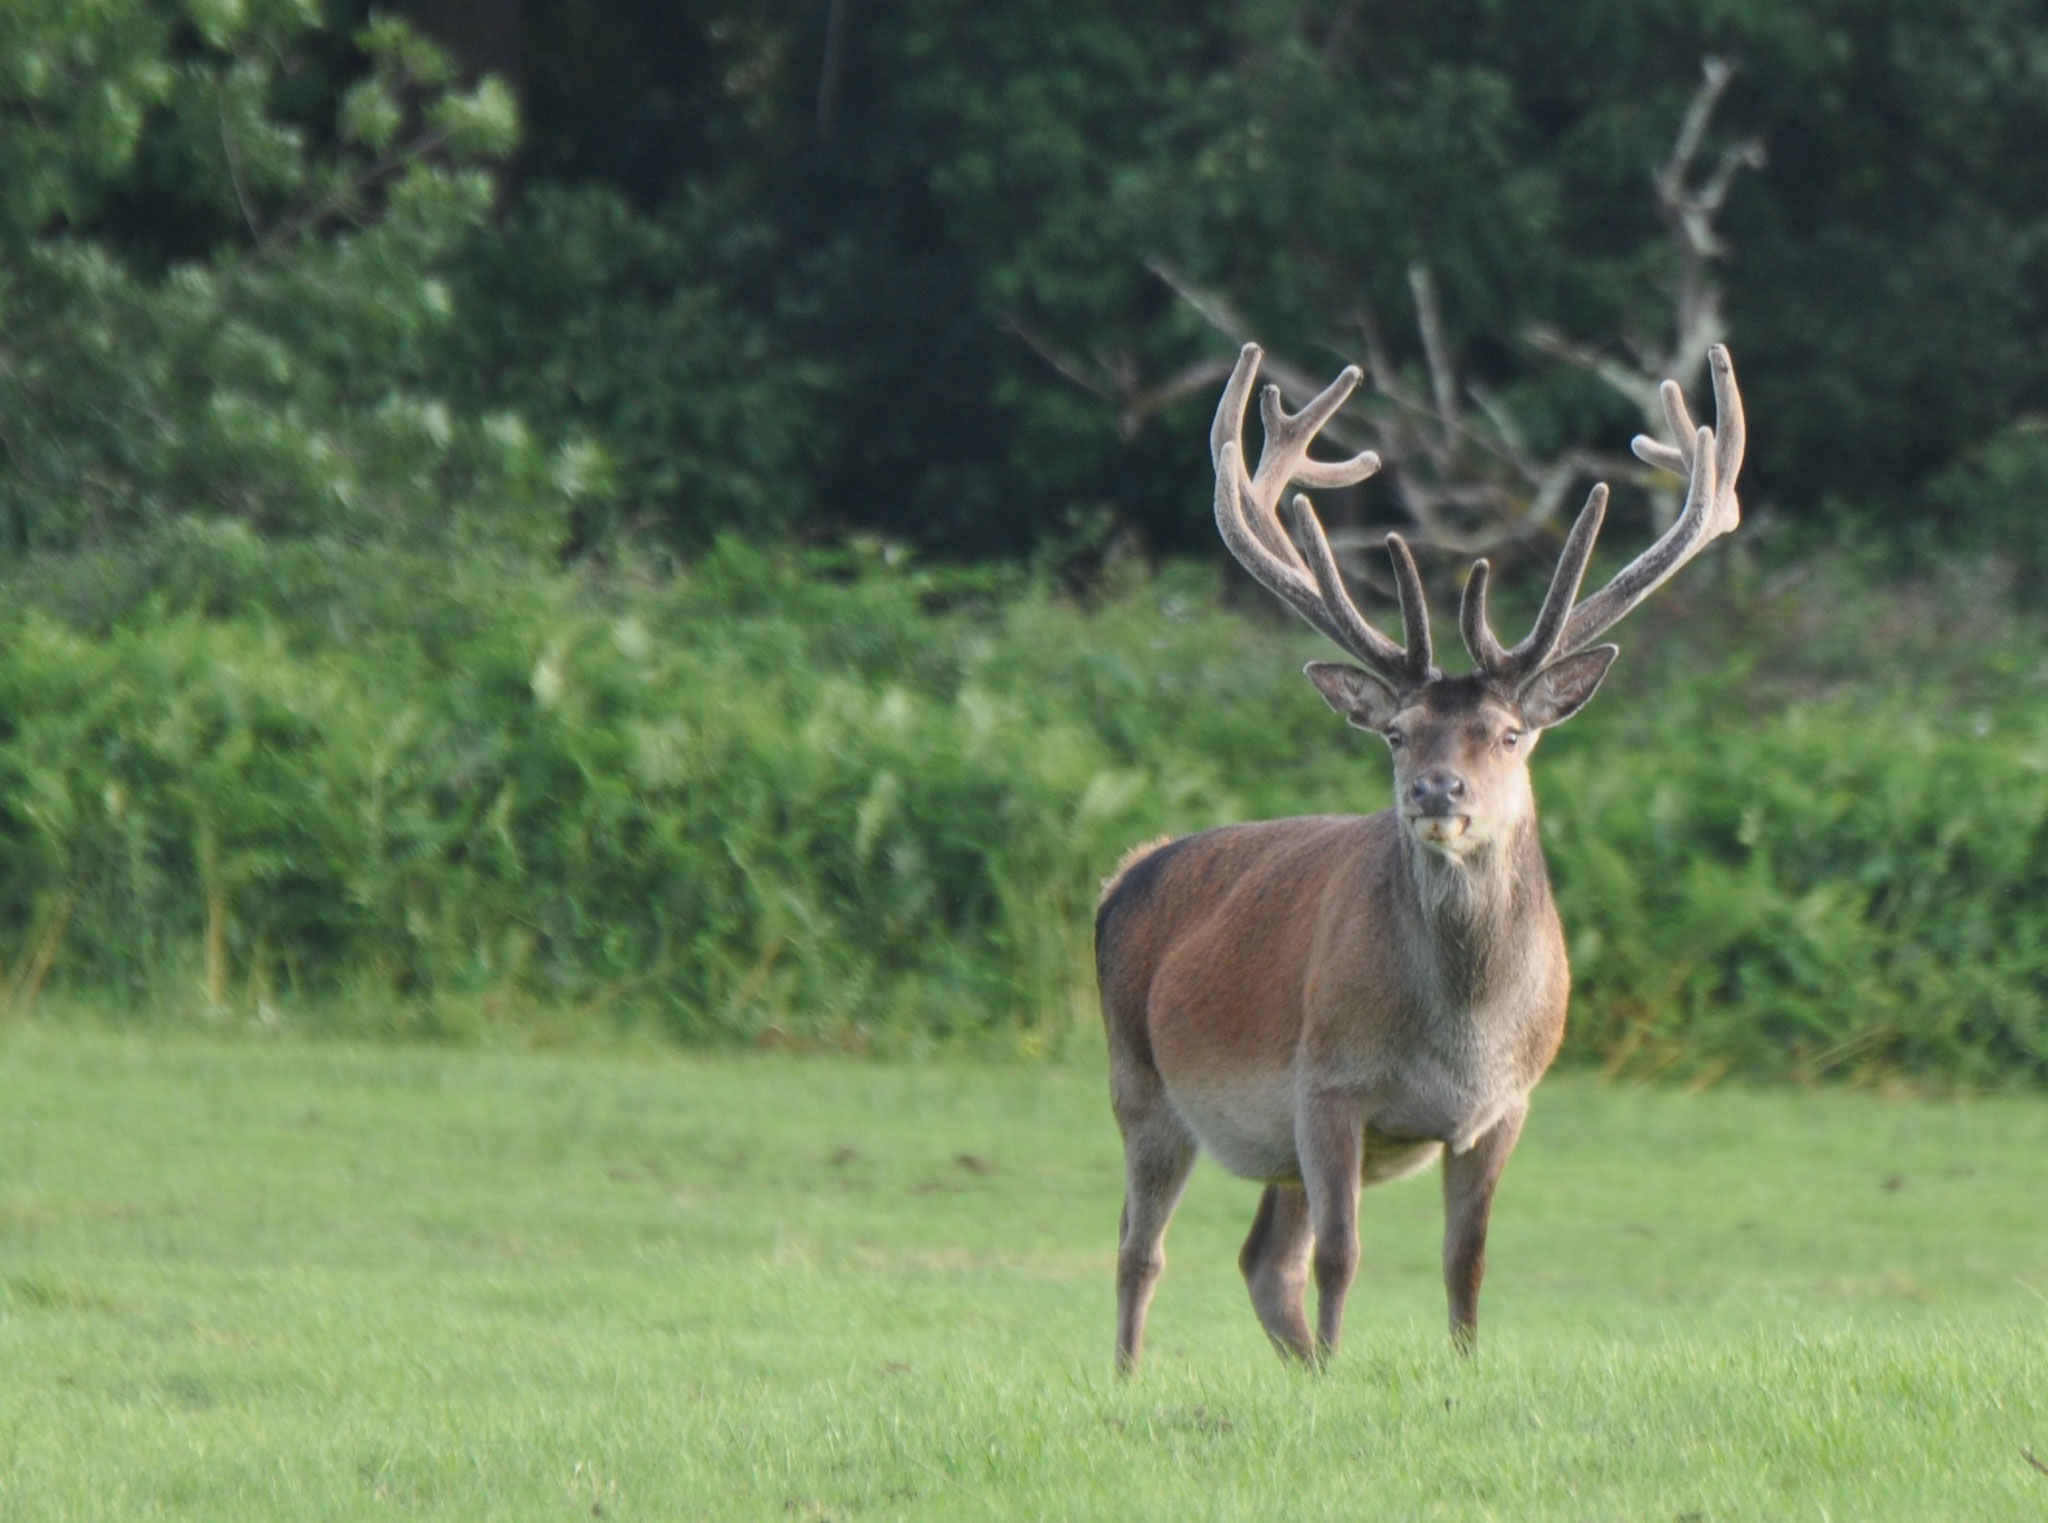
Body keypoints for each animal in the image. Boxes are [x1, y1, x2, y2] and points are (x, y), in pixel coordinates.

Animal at [1097, 341, 1753, 1367]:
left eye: (1511, 733)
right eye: (1399, 733)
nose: (1437, 792)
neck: (1461, 1038)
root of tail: (1125, 871)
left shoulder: (1506, 1105)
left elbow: (1465, 1260)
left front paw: (1459, 1365)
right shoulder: (1328, 1082)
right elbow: (1343, 1256)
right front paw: (1341, 1373)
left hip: (1264, 1139)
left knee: (1260, 1259)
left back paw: (1292, 1367)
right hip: (1141, 1078)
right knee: (1141, 1247)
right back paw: (1132, 1378)